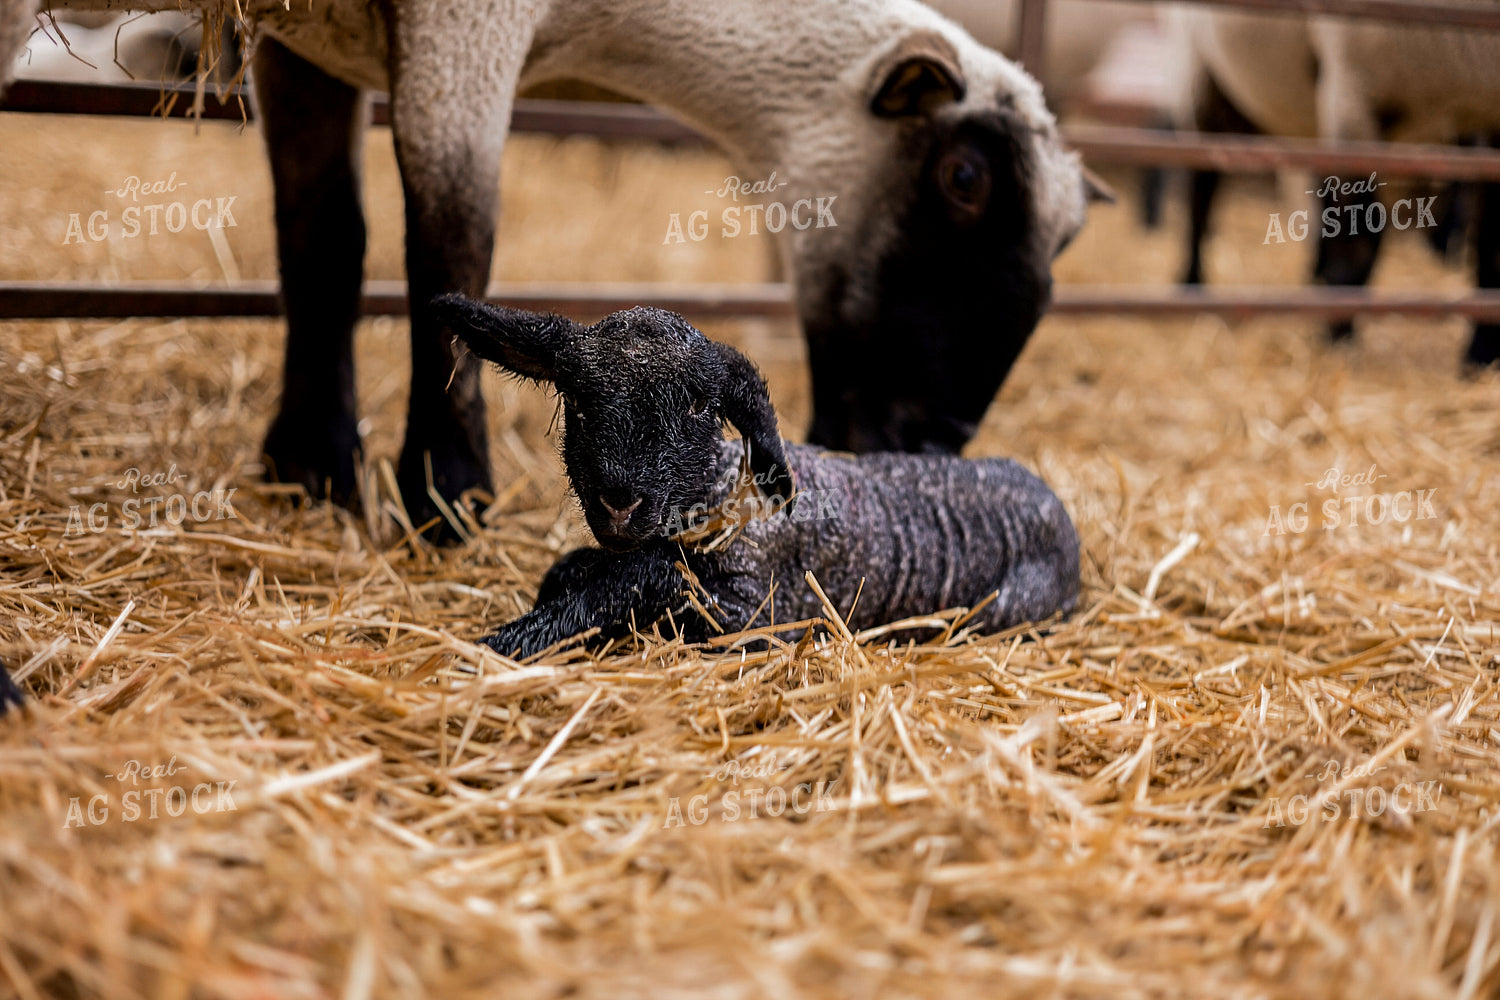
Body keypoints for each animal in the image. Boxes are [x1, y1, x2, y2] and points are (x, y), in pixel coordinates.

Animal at [3, 0, 1103, 538]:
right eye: (964, 176)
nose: (937, 445)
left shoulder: (303, 44)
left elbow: (322, 243)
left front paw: (312, 469)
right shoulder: (467, 22)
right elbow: (448, 248)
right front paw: (449, 498)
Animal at [433, 294, 1080, 659]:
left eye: (700, 405)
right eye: (578, 403)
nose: (618, 501)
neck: (722, 500)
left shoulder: (761, 616)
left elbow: (654, 578)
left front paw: (511, 639)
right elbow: (580, 567)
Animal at [1165, 7, 1500, 369]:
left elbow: (1490, 241)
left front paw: (1481, 352)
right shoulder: (1352, 90)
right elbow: (1357, 240)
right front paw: (1338, 338)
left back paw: (1315, 279)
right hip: (1201, 76)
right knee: (1201, 186)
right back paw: (1191, 285)